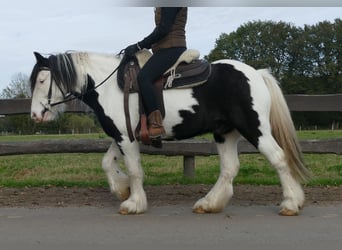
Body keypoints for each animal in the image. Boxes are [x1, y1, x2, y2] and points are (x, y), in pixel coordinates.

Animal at [30, 50, 310, 215]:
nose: (35, 115)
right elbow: (107, 163)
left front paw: (133, 203)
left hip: (255, 128)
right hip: (225, 133)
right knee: (229, 168)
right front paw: (122, 189)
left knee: (279, 158)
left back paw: (290, 203)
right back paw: (209, 203)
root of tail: (256, 74)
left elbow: (134, 170)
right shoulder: (121, 136)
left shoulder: (126, 138)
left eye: (42, 80)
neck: (110, 87)